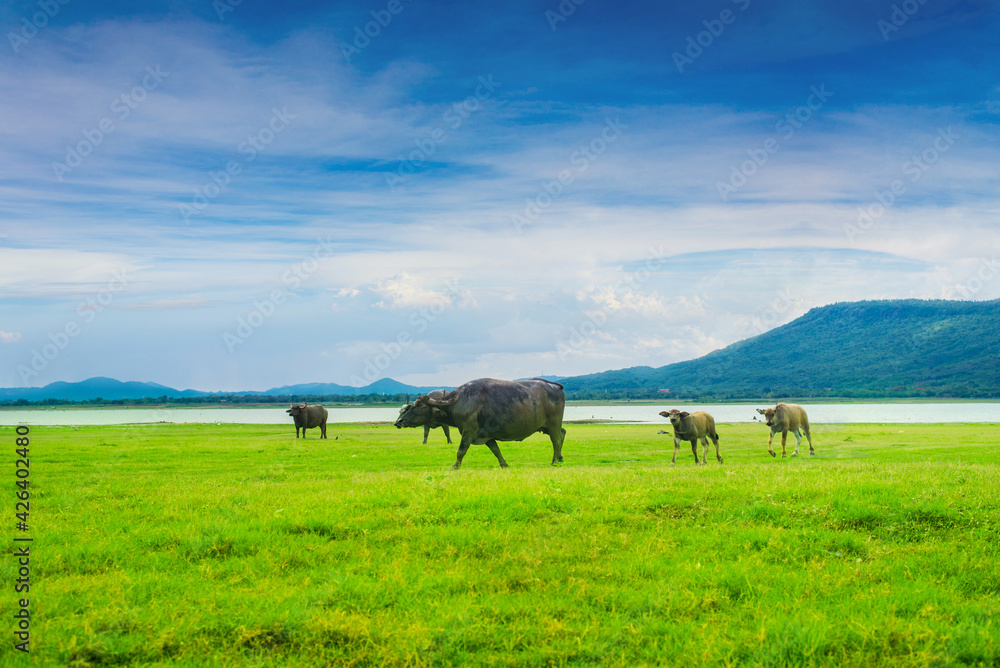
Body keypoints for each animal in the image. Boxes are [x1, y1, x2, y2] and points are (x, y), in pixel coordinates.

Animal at [394, 378, 568, 468]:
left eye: (419, 405)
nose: (399, 421)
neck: (460, 402)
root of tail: (556, 388)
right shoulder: (487, 435)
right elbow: (496, 450)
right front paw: (504, 464)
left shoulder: (468, 431)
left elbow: (461, 451)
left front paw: (455, 467)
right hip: (547, 426)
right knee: (562, 433)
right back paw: (560, 458)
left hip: (553, 424)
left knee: (556, 441)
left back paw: (554, 462)